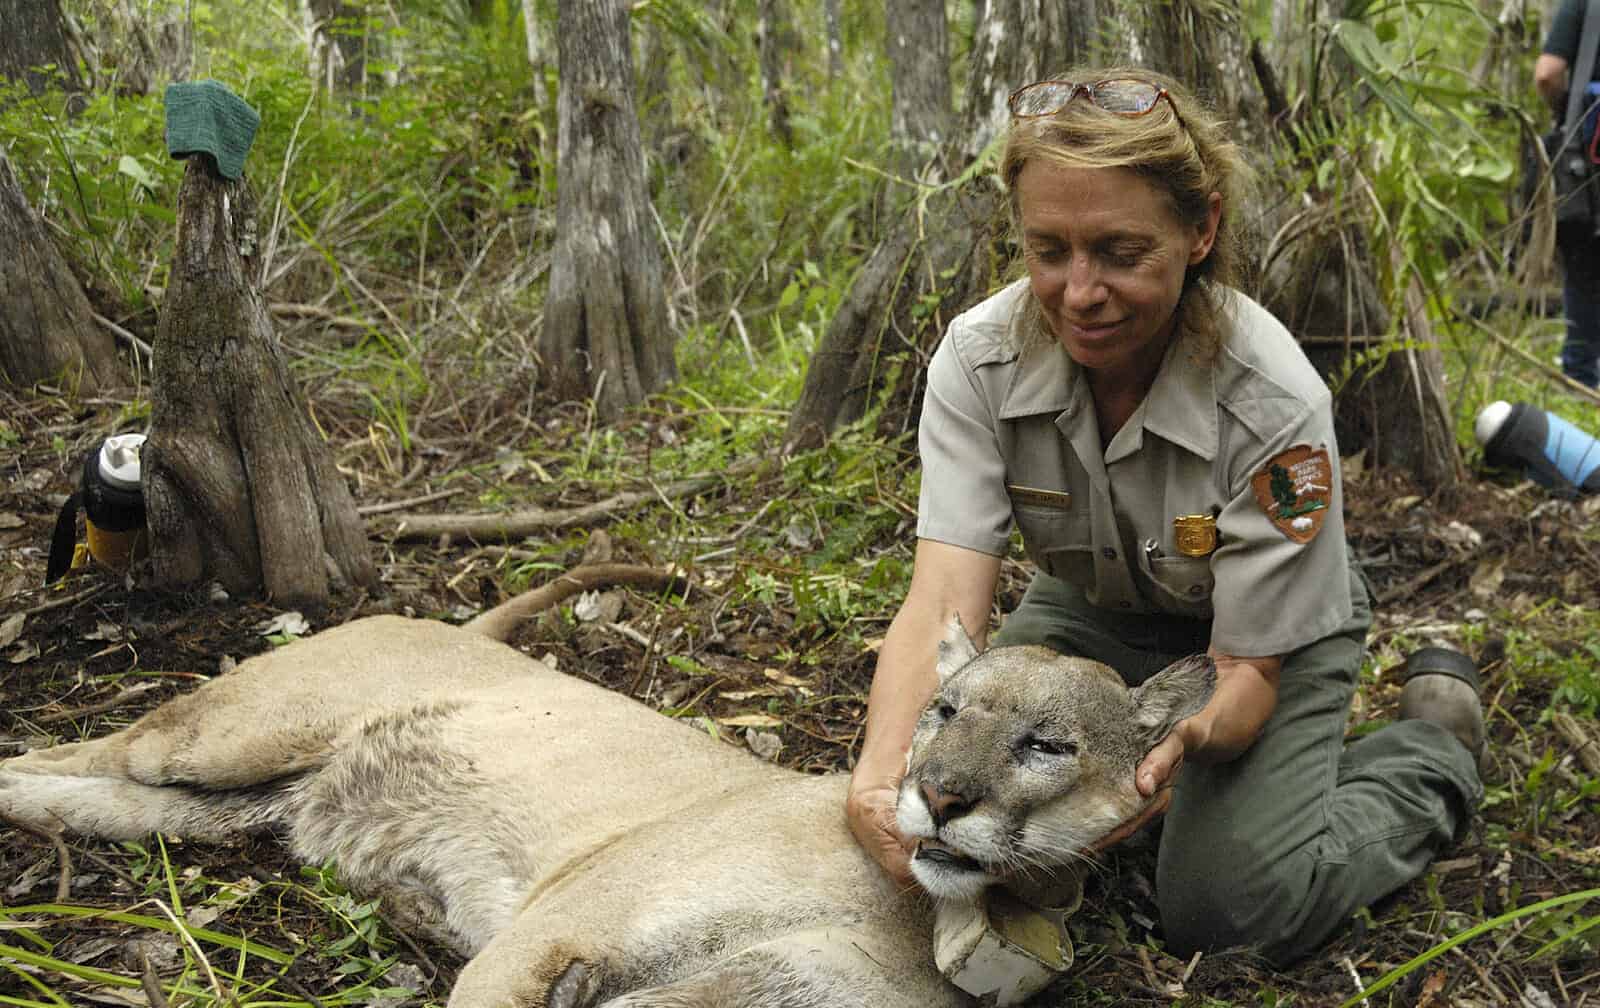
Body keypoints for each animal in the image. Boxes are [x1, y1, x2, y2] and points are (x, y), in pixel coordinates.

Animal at [0, 611, 1209, 1004]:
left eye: (1047, 743)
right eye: (943, 710)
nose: (939, 796)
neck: (924, 920)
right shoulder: (551, 934)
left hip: (218, 809)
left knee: (78, 790)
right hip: (229, 736)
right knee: (63, 748)